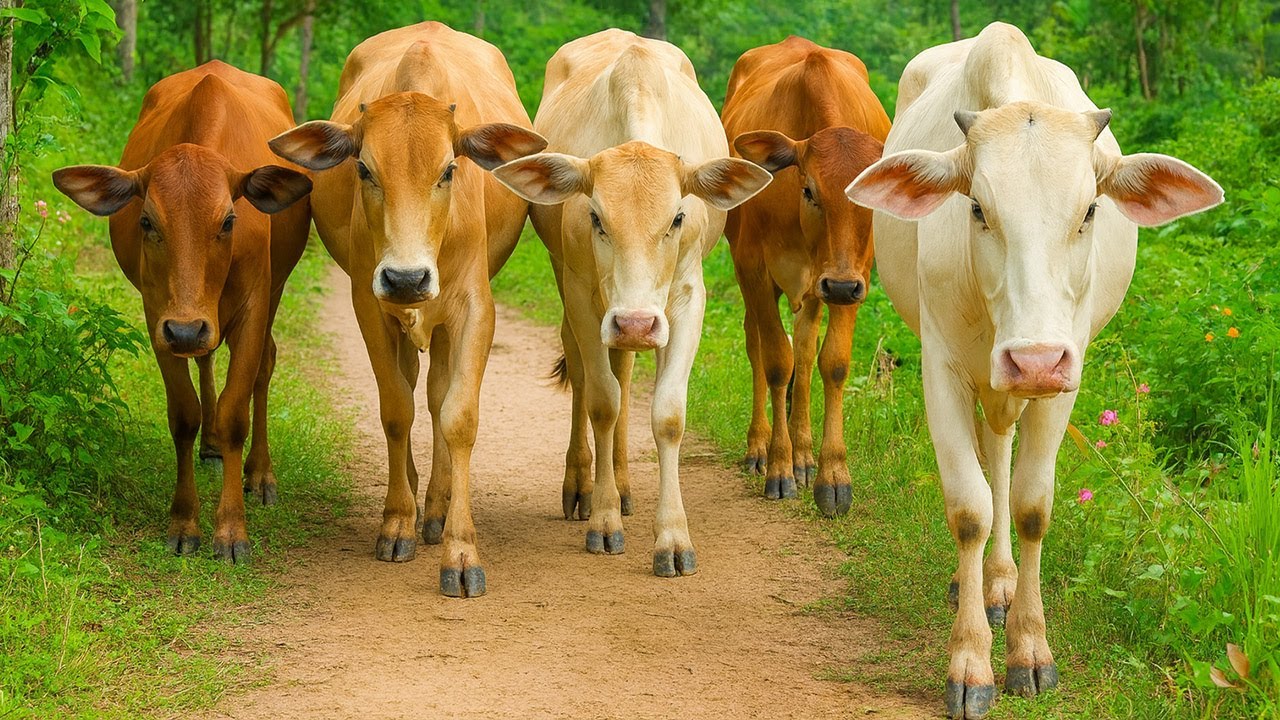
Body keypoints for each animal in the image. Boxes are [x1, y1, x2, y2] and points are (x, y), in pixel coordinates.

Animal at [53, 61, 313, 563]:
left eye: (228, 221)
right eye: (146, 221)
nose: (188, 329)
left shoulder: (252, 305)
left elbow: (235, 413)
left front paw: (230, 530)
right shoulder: (159, 315)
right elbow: (184, 415)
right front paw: (184, 522)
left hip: (272, 291)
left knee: (264, 367)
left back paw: (260, 473)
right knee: (206, 358)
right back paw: (211, 446)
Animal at [267, 22, 546, 598]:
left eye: (449, 170)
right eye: (364, 168)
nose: (406, 277)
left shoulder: (475, 310)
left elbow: (459, 416)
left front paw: (460, 551)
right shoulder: (369, 305)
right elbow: (396, 408)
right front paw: (396, 521)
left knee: (438, 395)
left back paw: (436, 507)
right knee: (416, 388)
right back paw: (417, 496)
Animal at [491, 29, 771, 577]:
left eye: (678, 217)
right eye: (597, 217)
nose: (636, 323)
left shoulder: (686, 299)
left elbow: (666, 414)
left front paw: (673, 539)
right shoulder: (582, 293)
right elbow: (601, 401)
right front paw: (603, 521)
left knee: (622, 370)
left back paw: (620, 484)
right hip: (577, 292)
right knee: (587, 373)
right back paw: (584, 485)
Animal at [720, 36, 890, 516]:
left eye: (868, 195)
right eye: (809, 189)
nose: (840, 285)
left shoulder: (853, 276)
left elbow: (831, 363)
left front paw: (831, 475)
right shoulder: (754, 270)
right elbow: (777, 362)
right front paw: (778, 467)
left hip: (817, 287)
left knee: (807, 350)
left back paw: (805, 456)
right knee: (758, 345)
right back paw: (762, 448)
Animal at [845, 23, 1222, 719]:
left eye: (1090, 211)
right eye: (977, 209)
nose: (1034, 358)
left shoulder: (1063, 376)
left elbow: (1029, 506)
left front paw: (1029, 650)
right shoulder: (941, 367)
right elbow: (971, 509)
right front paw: (970, 663)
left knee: (1002, 457)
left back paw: (1000, 585)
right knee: (988, 461)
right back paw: (980, 584)